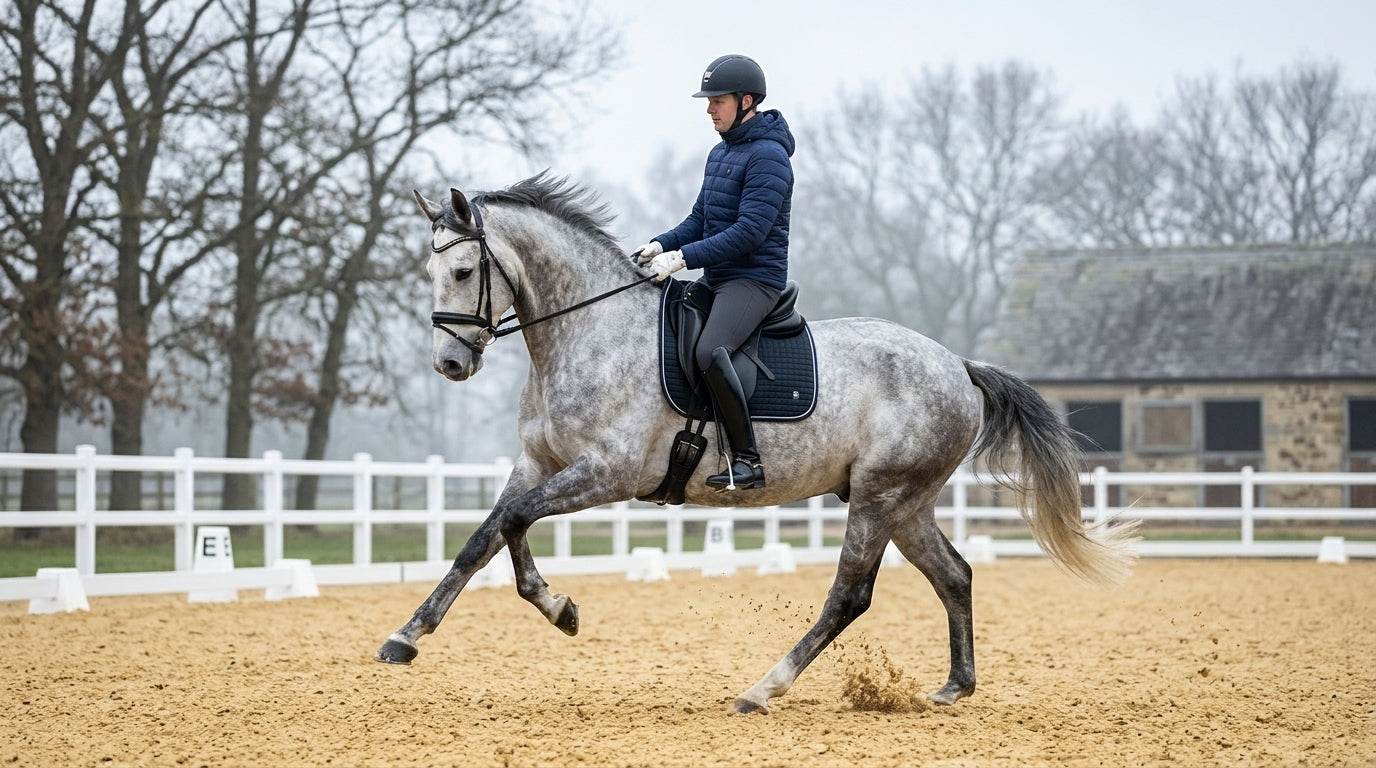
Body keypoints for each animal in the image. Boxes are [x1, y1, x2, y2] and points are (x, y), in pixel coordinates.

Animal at [375, 172, 1138, 714]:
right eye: (430, 273)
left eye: (464, 272)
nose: (450, 364)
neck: (587, 332)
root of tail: (958, 365)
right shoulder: (539, 462)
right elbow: (485, 536)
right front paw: (410, 635)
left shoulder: (607, 473)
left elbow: (512, 521)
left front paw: (557, 608)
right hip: (905, 500)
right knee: (953, 574)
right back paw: (955, 686)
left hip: (881, 494)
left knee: (849, 595)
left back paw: (764, 688)